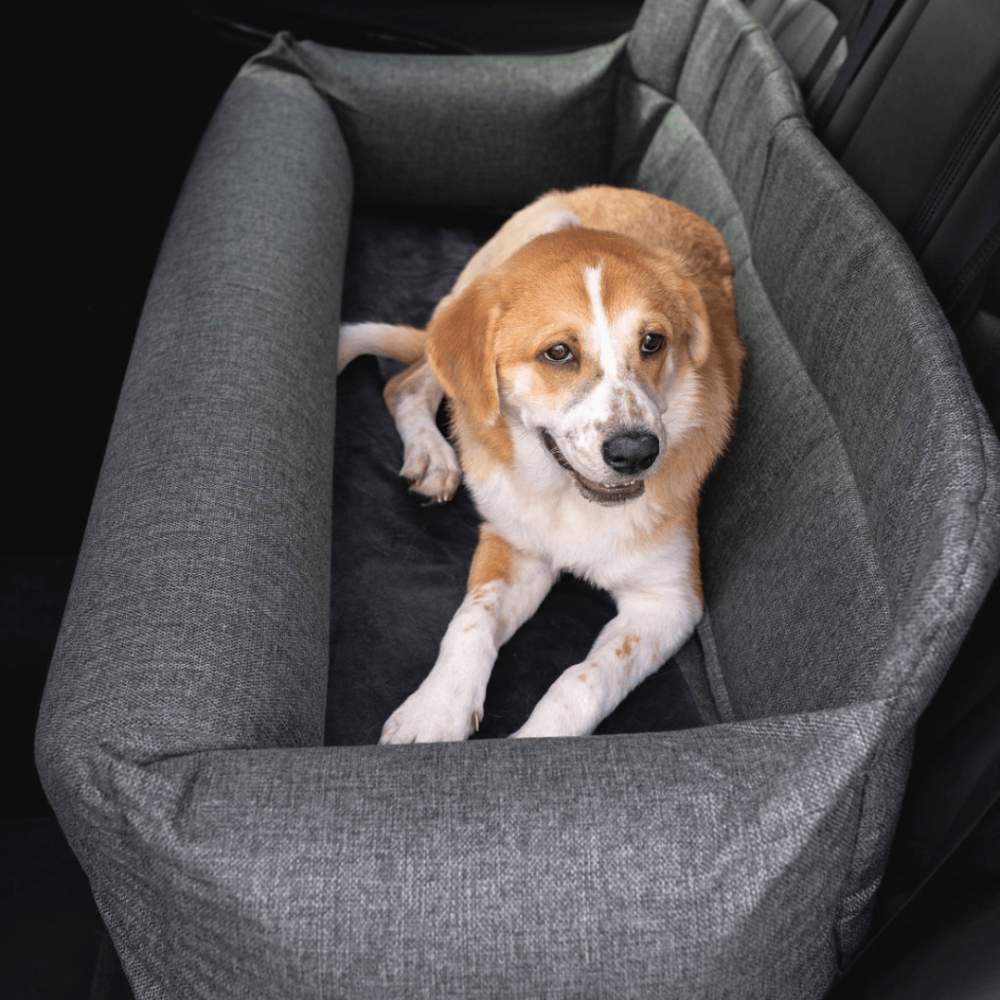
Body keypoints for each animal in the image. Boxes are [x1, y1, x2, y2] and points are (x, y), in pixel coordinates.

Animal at [338, 184, 744, 744]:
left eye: (653, 342)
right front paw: (434, 712)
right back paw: (431, 454)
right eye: (558, 353)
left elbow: (583, 680)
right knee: (410, 382)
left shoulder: (669, 601)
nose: (636, 453)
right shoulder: (513, 543)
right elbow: (470, 622)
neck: (567, 499)